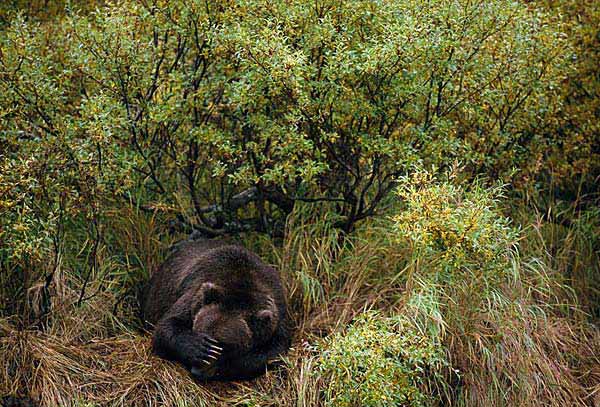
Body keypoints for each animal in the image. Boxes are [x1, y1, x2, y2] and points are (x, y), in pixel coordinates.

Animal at [141, 239, 290, 382]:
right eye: (199, 330)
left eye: (224, 344)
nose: (197, 371)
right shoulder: (195, 294)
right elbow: (166, 326)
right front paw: (200, 348)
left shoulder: (276, 314)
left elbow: (274, 351)